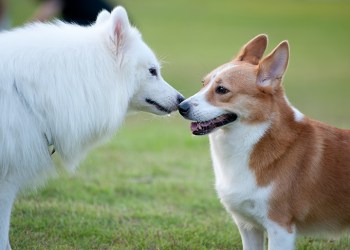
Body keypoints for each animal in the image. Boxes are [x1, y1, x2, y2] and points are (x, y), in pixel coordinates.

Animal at [179, 34, 350, 250]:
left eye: (222, 90)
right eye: (203, 83)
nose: (180, 106)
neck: (255, 138)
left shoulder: (280, 228)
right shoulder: (248, 226)